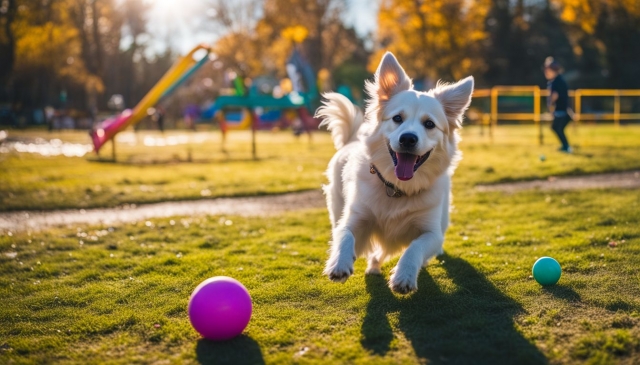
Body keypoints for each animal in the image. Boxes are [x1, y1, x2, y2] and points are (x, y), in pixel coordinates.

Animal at [316, 51, 472, 292]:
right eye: (397, 118)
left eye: (429, 124)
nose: (408, 138)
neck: (397, 188)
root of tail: (350, 140)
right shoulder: (354, 217)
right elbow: (345, 235)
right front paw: (340, 262)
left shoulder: (432, 233)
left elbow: (415, 247)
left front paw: (404, 275)